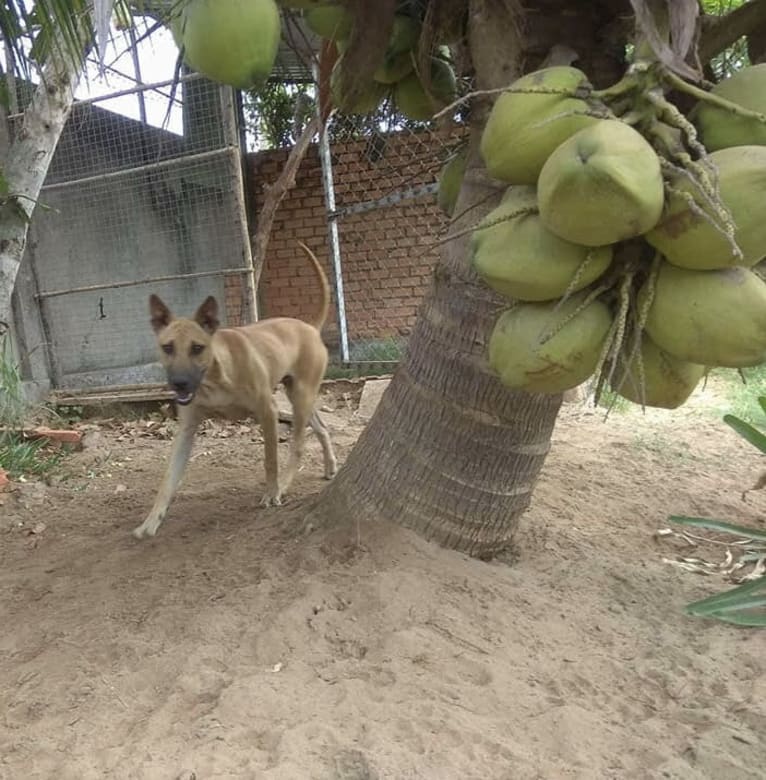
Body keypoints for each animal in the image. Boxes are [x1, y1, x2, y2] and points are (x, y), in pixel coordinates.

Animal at [134, 241, 338, 540]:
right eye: (167, 347)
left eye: (197, 348)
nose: (179, 384)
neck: (215, 376)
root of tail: (310, 327)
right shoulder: (186, 429)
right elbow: (167, 480)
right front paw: (151, 521)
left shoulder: (268, 410)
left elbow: (270, 460)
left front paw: (272, 492)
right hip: (300, 394)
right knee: (322, 427)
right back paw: (330, 465)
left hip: (300, 397)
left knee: (298, 446)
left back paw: (285, 485)